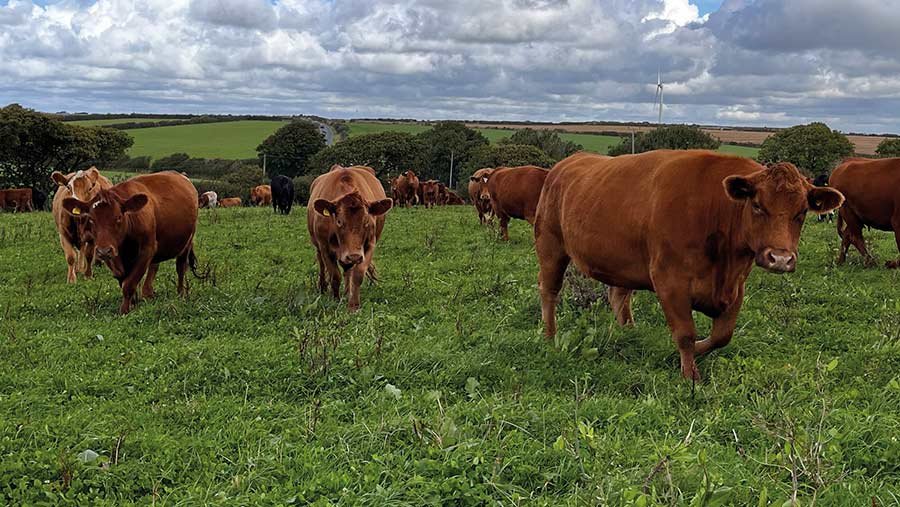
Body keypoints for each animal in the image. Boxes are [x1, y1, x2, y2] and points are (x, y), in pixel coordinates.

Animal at [60, 173, 201, 316]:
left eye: (118, 217)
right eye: (91, 219)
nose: (103, 251)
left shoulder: (146, 250)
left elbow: (129, 283)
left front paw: (125, 310)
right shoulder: (112, 257)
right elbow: (122, 279)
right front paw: (133, 303)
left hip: (187, 242)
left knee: (181, 267)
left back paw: (180, 293)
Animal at [308, 165, 392, 312]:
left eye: (366, 221)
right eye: (339, 221)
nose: (353, 255)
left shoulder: (369, 245)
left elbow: (358, 274)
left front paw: (353, 305)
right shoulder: (324, 247)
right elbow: (335, 275)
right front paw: (335, 300)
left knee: (348, 269)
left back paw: (347, 292)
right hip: (318, 247)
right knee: (322, 264)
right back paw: (323, 288)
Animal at [536, 151, 844, 380]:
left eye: (801, 212)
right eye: (757, 205)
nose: (780, 258)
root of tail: (566, 163)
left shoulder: (736, 287)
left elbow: (721, 336)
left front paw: (694, 352)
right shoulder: (670, 281)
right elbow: (685, 333)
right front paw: (689, 373)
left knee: (618, 296)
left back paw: (630, 333)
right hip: (550, 246)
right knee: (550, 291)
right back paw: (550, 337)